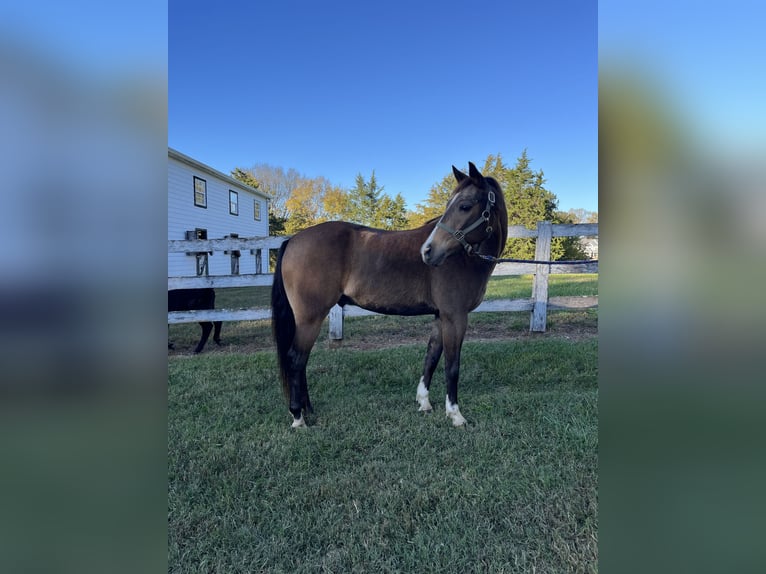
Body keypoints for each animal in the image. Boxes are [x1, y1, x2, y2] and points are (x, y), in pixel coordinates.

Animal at [272, 162, 510, 428]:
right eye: (453, 204)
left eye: (465, 205)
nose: (428, 251)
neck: (464, 258)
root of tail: (293, 239)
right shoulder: (455, 317)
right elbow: (452, 365)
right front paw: (455, 414)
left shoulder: (441, 316)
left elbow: (431, 358)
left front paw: (424, 403)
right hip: (310, 318)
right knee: (296, 359)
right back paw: (298, 417)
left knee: (300, 361)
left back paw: (307, 409)